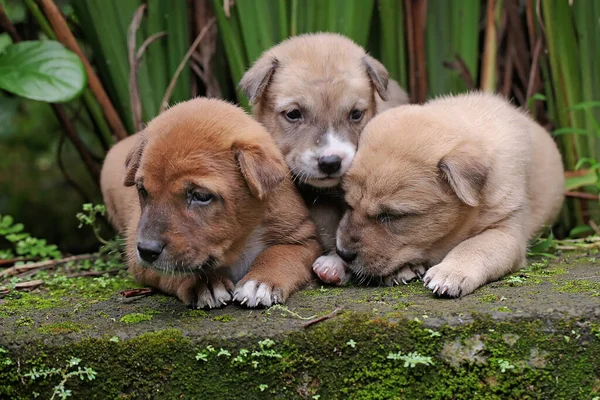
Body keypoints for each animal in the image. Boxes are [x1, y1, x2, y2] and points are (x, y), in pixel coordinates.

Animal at [99, 97, 324, 310]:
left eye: (200, 196)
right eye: (142, 190)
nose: (147, 250)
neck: (237, 245)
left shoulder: (304, 240)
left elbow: (280, 254)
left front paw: (260, 282)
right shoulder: (137, 257)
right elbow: (177, 268)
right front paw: (205, 283)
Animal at [336, 91, 564, 296]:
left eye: (390, 216)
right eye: (348, 204)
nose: (342, 253)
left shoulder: (507, 230)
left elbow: (474, 246)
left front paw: (451, 272)